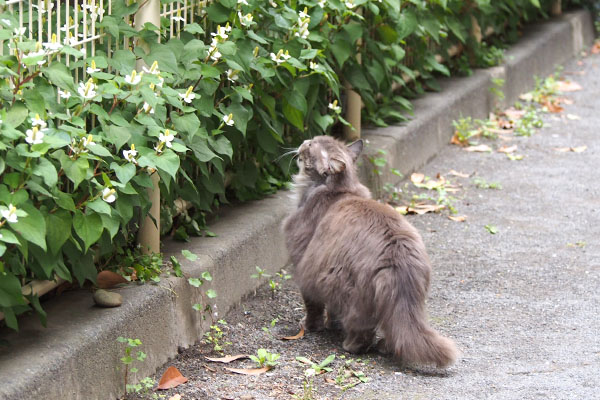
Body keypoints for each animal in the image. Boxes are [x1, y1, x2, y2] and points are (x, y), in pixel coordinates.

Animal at [284, 136, 458, 368]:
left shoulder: (303, 264)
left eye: (312, 145)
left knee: (363, 329)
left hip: (345, 287)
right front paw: (332, 325)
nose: (305, 140)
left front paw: (312, 326)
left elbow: (313, 306)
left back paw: (351, 345)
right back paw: (384, 346)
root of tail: (397, 256)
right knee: (395, 329)